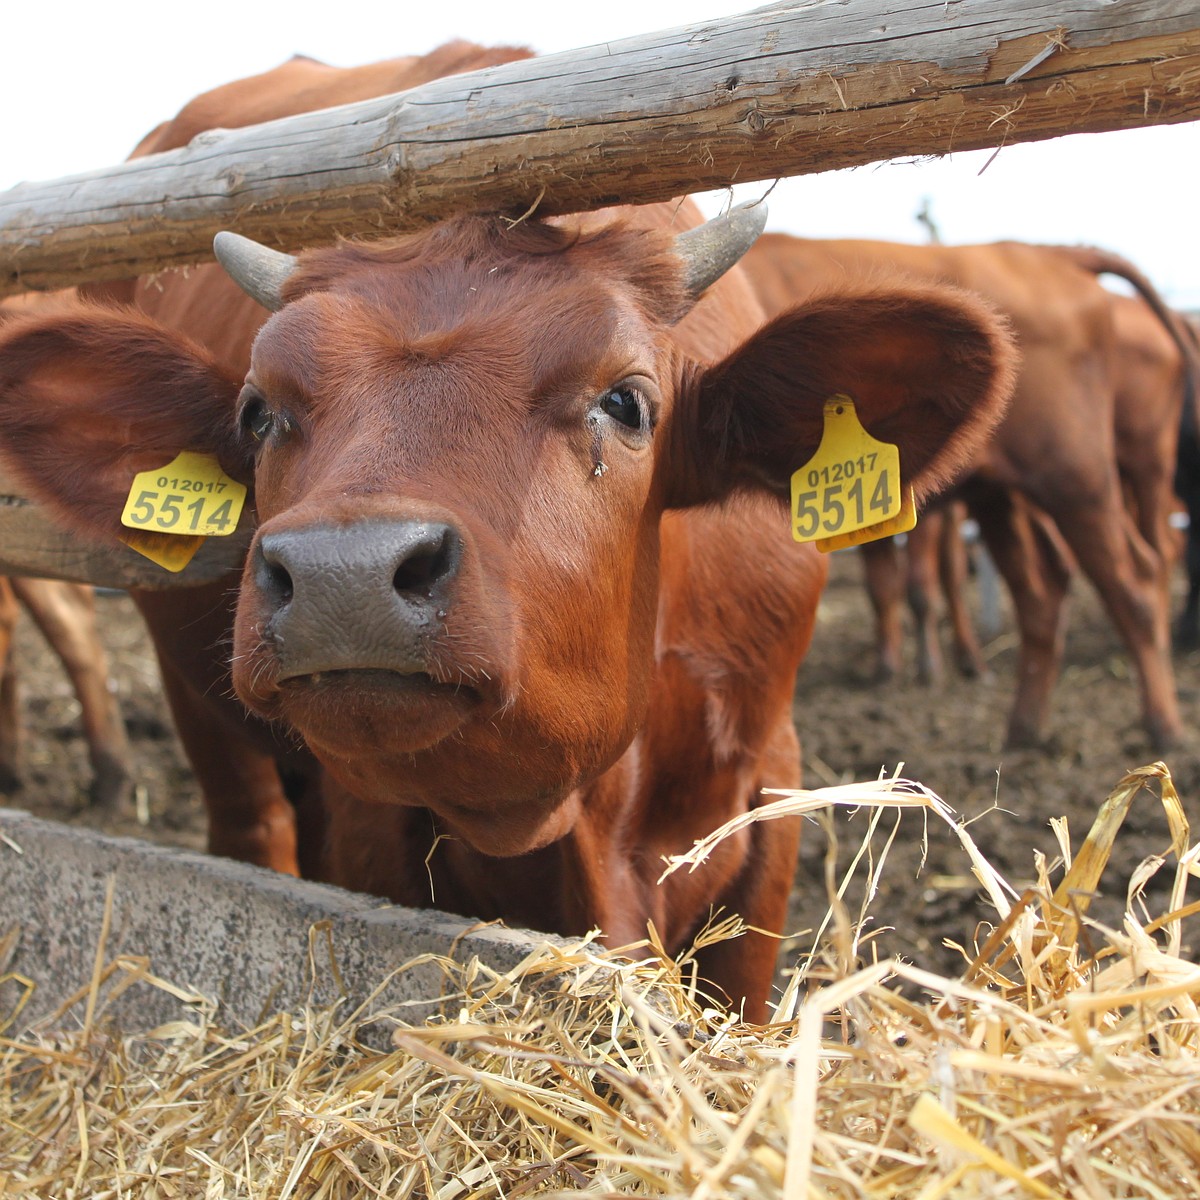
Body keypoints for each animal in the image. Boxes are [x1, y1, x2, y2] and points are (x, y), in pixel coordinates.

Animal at [744, 234, 1185, 748]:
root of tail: (1047, 253)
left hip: (1085, 478)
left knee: (1137, 580)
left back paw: (1164, 728)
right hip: (1002, 494)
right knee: (1044, 592)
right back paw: (1024, 730)